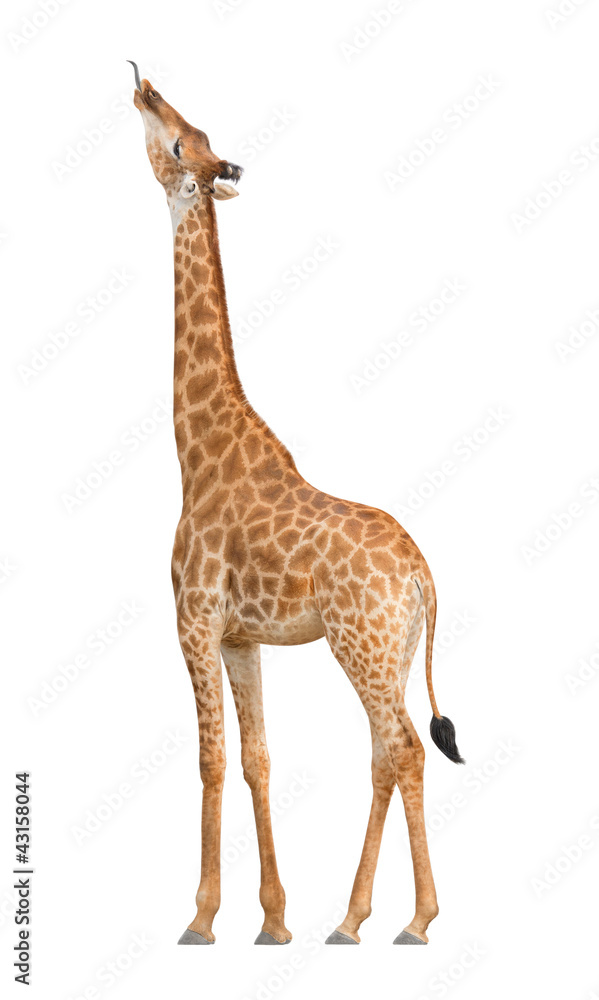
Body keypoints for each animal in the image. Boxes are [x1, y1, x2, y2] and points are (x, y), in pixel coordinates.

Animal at [129, 63, 464, 948]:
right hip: (386, 648)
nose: (144, 84)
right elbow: (256, 757)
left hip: (361, 642)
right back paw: (349, 919)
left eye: (179, 144)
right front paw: (272, 919)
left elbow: (209, 756)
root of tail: (422, 576)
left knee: (403, 746)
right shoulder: (241, 637)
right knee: (385, 750)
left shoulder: (194, 619)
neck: (197, 454)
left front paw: (200, 918)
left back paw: (412, 921)